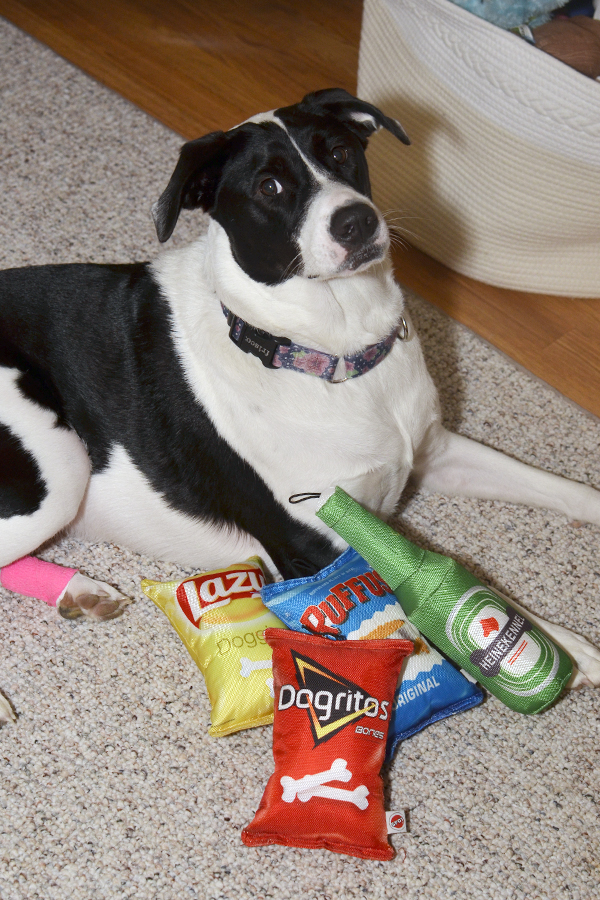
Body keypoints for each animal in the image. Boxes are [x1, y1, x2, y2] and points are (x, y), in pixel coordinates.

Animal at [1, 88, 600, 700]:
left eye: (339, 152)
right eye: (269, 186)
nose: (356, 221)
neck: (331, 355)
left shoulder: (433, 451)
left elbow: (561, 489)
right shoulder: (316, 544)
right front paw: (556, 647)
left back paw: (79, 592)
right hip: (59, 466)